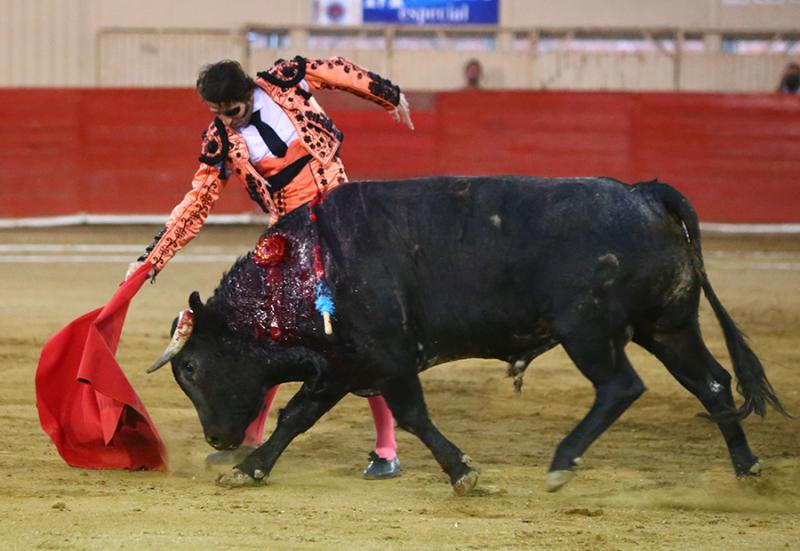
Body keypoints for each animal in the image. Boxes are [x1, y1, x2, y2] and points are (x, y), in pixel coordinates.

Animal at [147, 176, 787, 494]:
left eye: (192, 368)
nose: (217, 438)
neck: (303, 269)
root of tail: (645, 193)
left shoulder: (383, 358)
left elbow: (412, 415)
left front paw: (464, 473)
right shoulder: (343, 365)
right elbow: (296, 416)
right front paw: (249, 469)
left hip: (588, 330)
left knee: (621, 388)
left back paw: (562, 462)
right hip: (669, 325)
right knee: (712, 382)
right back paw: (747, 469)